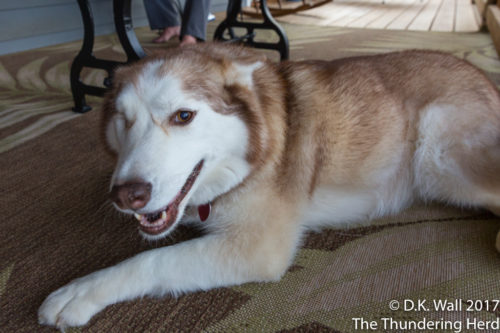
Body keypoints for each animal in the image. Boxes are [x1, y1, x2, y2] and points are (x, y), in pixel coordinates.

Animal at [38, 42, 500, 328]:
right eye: (123, 120)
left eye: (183, 116)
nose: (126, 195)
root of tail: (483, 76)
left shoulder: (257, 248)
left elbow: (152, 260)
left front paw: (80, 291)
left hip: (437, 151)